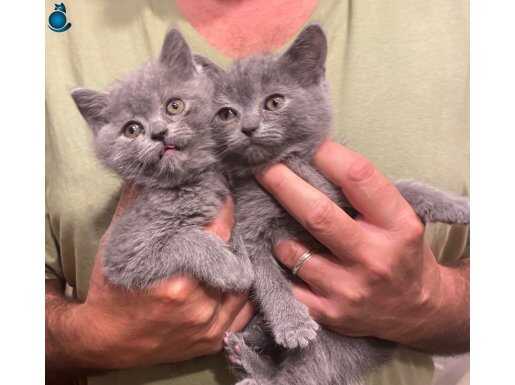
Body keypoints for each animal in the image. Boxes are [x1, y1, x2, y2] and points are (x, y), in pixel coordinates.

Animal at [69, 27, 255, 292]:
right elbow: (185, 240)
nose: (159, 132)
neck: (187, 183)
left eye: (174, 106)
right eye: (132, 129)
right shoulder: (124, 251)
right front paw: (230, 269)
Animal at [211, 25, 472, 382]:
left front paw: (458, 205)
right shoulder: (248, 225)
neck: (290, 164)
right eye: (227, 113)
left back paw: (247, 356)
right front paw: (292, 324)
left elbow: (405, 187)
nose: (248, 127)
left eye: (274, 101)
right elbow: (266, 276)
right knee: (306, 372)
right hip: (325, 341)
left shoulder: (341, 194)